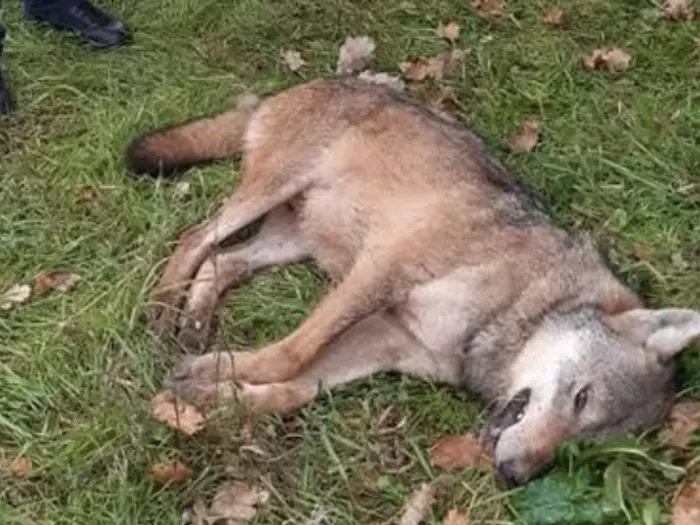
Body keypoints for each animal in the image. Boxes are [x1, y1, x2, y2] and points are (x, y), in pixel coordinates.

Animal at [125, 77, 700, 487]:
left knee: (223, 263)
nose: (515, 477)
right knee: (195, 238)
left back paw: (194, 323)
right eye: (581, 399)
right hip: (271, 196)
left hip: (293, 240)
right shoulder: (380, 274)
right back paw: (163, 307)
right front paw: (208, 380)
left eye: (581, 448)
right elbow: (291, 354)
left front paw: (209, 390)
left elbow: (295, 387)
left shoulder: (386, 339)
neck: (515, 302)